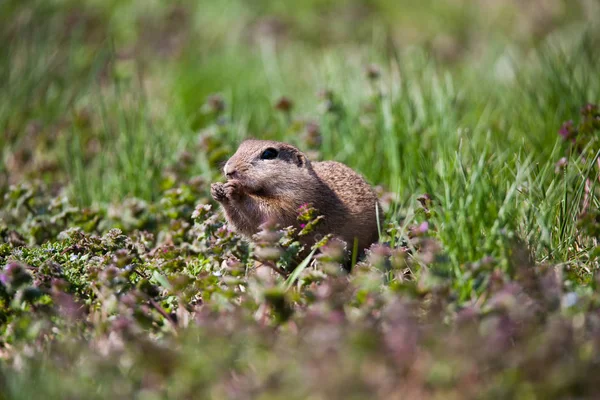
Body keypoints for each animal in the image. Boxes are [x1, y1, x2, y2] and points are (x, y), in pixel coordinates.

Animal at [209, 139, 382, 264]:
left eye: (269, 153)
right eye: (240, 146)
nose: (228, 170)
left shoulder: (298, 200)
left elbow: (270, 212)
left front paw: (235, 190)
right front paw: (217, 189)